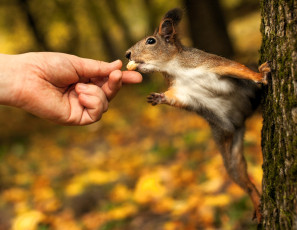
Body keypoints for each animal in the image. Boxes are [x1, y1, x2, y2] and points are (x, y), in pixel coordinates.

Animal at [125, 8, 270, 222]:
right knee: (241, 177)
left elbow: (235, 67)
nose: (127, 54)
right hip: (227, 148)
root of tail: (242, 119)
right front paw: (158, 97)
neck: (175, 67)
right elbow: (174, 98)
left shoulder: (211, 63)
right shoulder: (181, 92)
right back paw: (257, 204)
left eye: (151, 41)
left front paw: (258, 75)